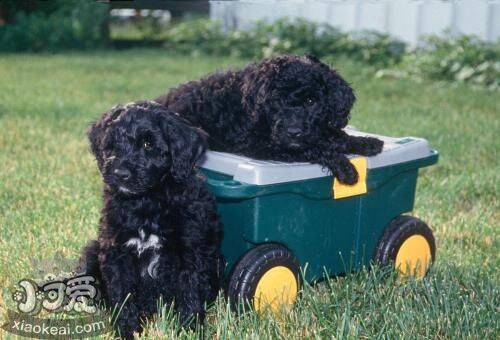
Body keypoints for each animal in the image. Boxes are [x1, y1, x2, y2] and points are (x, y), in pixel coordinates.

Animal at [79, 100, 222, 338]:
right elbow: (122, 295)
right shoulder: (115, 251)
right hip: (91, 252)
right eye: (112, 144)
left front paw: (189, 330)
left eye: (148, 144)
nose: (120, 173)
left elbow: (189, 292)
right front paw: (126, 331)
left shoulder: (191, 250)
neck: (147, 203)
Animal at [156, 54, 382, 185]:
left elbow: (332, 135)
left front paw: (366, 142)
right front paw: (345, 167)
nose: (293, 132)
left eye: (311, 101)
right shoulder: (262, 145)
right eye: (277, 101)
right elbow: (316, 147)